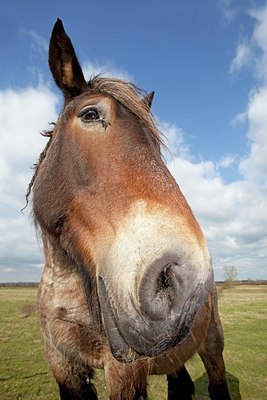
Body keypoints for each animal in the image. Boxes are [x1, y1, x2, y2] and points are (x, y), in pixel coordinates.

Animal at [28, 20, 231, 400]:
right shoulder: (62, 364)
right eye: (91, 114)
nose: (182, 278)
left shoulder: (124, 372)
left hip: (212, 344)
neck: (67, 284)